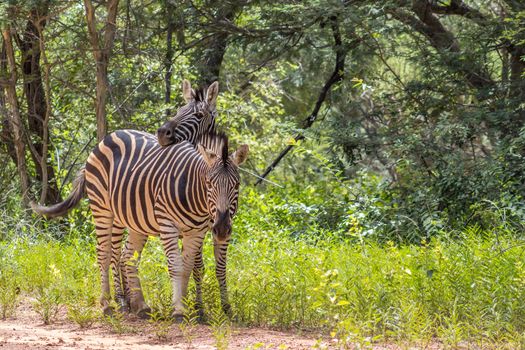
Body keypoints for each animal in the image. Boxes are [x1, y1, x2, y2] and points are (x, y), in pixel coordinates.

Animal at [32, 129, 248, 320]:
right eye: (209, 184)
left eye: (237, 184)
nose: (221, 228)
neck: (194, 195)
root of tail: (110, 135)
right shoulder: (168, 225)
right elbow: (177, 266)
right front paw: (180, 310)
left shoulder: (197, 231)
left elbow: (192, 268)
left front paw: (193, 307)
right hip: (103, 209)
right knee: (105, 254)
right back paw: (109, 304)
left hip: (136, 221)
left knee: (128, 257)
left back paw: (139, 305)